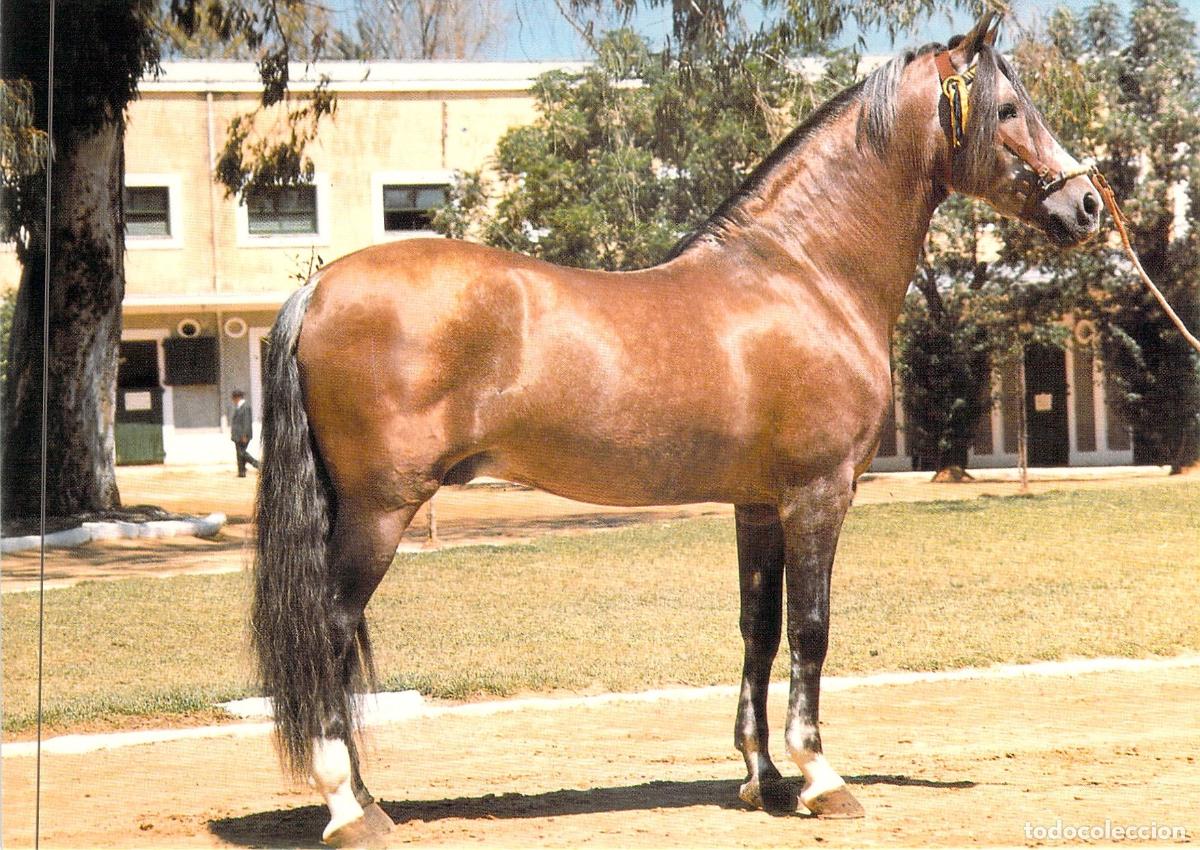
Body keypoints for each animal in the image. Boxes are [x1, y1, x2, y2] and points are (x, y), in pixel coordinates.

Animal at [252, 12, 1100, 845]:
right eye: (1008, 110)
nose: (1088, 205)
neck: (805, 276)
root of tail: (317, 290)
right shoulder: (818, 494)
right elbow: (812, 628)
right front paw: (822, 779)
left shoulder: (757, 505)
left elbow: (759, 628)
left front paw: (762, 778)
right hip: (380, 509)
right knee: (330, 630)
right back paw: (349, 810)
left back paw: (369, 798)